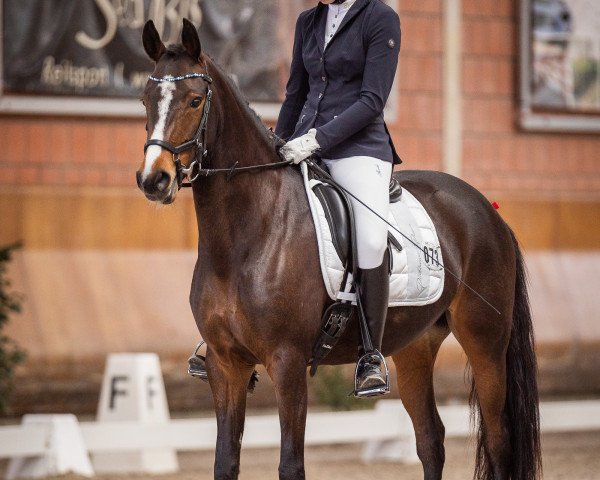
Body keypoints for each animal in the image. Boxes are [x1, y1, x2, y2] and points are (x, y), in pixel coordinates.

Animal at [138, 18, 540, 480]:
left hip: (486, 342)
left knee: (498, 439)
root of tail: (488, 210)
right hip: (416, 346)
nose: (154, 180)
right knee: (430, 439)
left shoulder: (288, 362)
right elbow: (225, 462)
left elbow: (291, 465)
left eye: (194, 99)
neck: (243, 240)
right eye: (145, 99)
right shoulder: (226, 365)